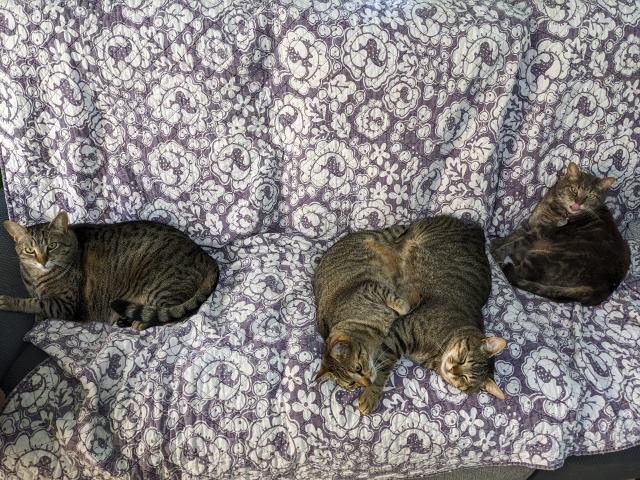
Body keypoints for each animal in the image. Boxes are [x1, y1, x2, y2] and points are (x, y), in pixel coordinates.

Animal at [1, 211, 219, 330]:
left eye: (52, 246)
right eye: (30, 250)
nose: (42, 261)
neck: (37, 277)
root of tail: (204, 253)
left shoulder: (65, 304)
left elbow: (35, 303)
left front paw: (9, 302)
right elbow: (36, 302)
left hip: (161, 286)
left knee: (174, 313)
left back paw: (139, 322)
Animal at [314, 216, 504, 414]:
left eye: (465, 379)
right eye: (463, 357)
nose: (453, 370)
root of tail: (476, 230)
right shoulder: (397, 331)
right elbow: (382, 368)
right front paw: (371, 394)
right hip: (410, 238)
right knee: (398, 240)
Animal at [492, 161, 628, 304]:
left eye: (590, 196)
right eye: (574, 190)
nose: (578, 203)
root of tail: (604, 287)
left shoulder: (540, 231)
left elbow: (515, 243)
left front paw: (497, 253)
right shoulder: (531, 224)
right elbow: (513, 235)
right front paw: (496, 242)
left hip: (542, 257)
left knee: (519, 273)